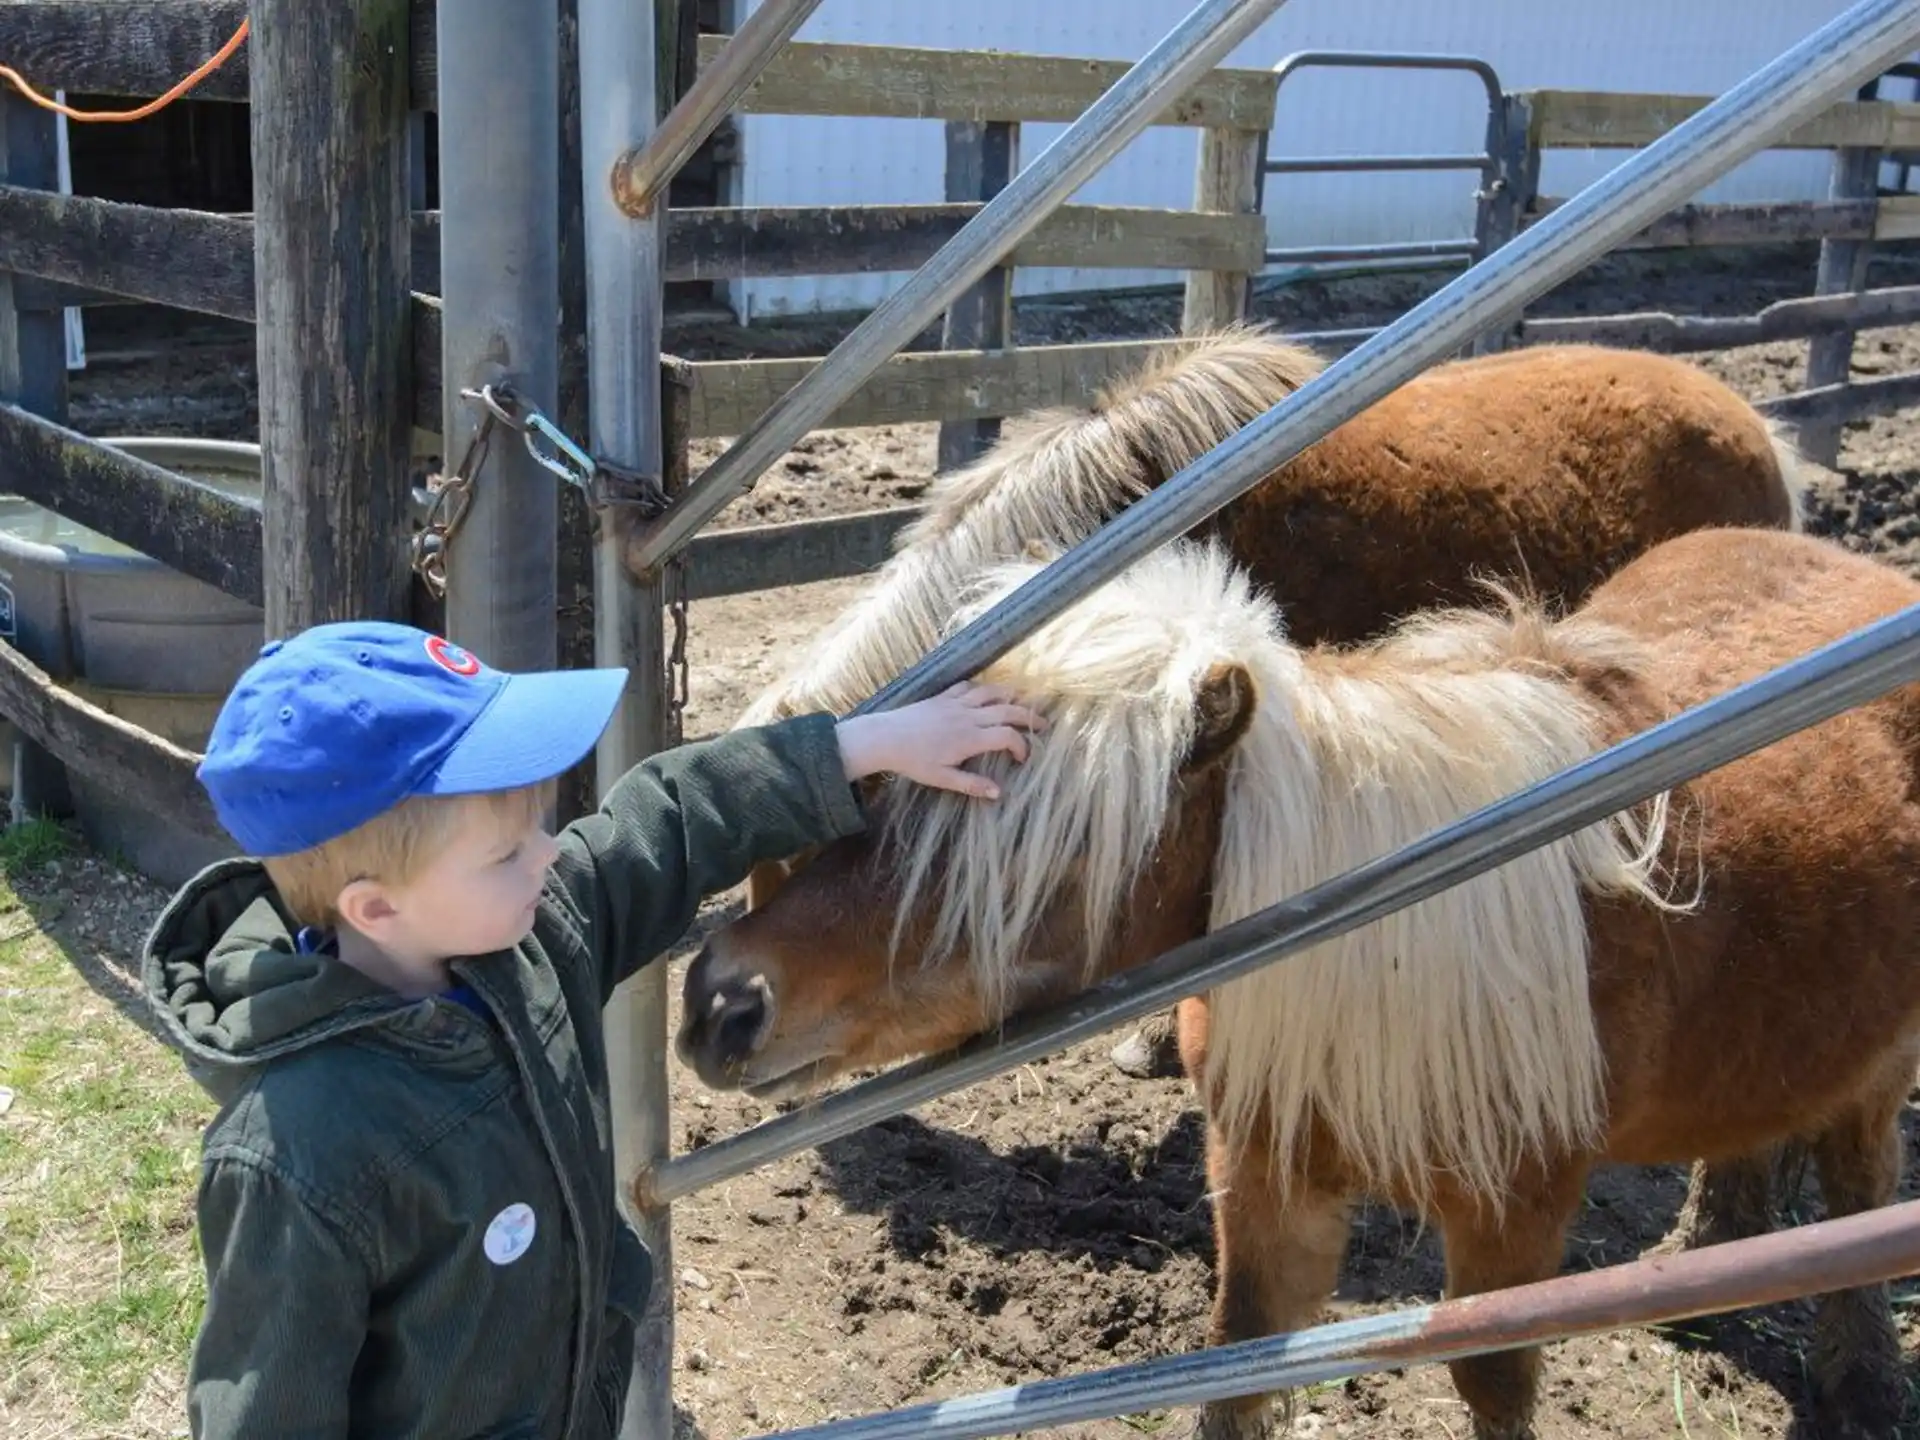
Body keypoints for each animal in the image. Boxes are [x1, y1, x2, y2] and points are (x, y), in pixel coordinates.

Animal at [680, 527, 1920, 1439]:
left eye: (1054, 859)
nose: (720, 1003)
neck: (1385, 941)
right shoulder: (1268, 1177)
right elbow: (1236, 1364)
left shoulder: (1515, 1219)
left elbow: (1495, 1389)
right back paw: (1711, 1255)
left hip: (1881, 1065)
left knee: (1858, 1174)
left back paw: (1858, 1382)